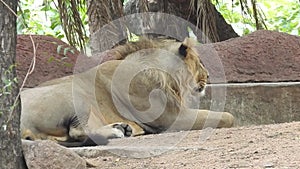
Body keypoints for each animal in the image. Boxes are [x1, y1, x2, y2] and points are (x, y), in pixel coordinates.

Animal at [20, 37, 234, 146]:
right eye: (200, 62)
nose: (208, 75)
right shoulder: (171, 118)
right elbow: (227, 116)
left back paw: (123, 128)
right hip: (73, 95)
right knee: (78, 131)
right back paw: (118, 131)